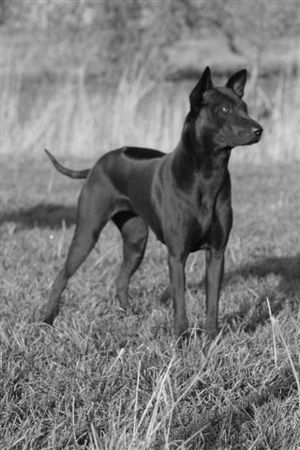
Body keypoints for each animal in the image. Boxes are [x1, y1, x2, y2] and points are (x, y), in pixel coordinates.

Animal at [41, 67, 262, 342]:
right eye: (224, 109)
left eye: (245, 107)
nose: (259, 130)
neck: (208, 173)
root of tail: (96, 164)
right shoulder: (177, 255)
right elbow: (180, 302)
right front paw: (181, 340)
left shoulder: (217, 253)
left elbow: (213, 302)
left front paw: (211, 339)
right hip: (87, 232)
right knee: (62, 275)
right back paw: (47, 319)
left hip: (136, 239)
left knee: (121, 279)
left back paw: (128, 316)